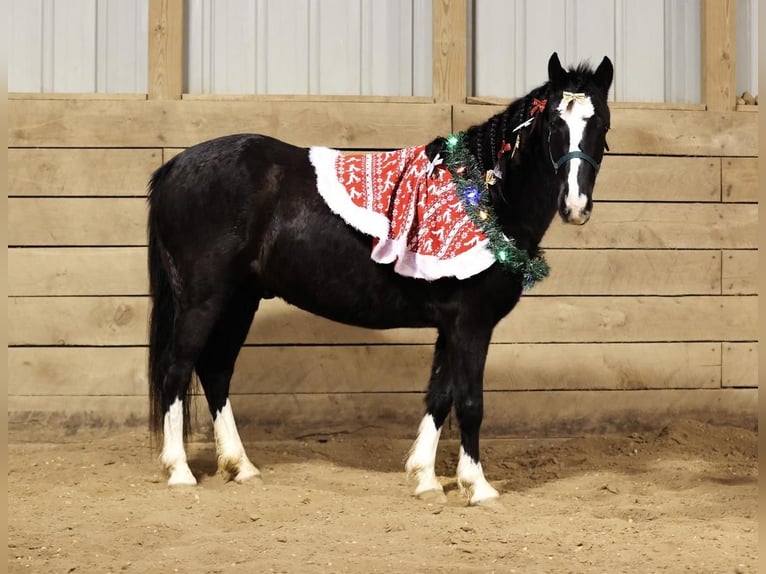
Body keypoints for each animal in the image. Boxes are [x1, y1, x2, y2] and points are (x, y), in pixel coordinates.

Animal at [146, 52, 613, 506]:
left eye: (601, 124)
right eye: (554, 122)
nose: (575, 206)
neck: (483, 197)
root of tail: (175, 166)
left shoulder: (451, 326)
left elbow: (439, 395)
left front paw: (425, 479)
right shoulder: (471, 324)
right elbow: (470, 402)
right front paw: (477, 487)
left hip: (240, 300)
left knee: (215, 371)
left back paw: (240, 466)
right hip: (202, 301)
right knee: (177, 370)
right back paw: (180, 472)